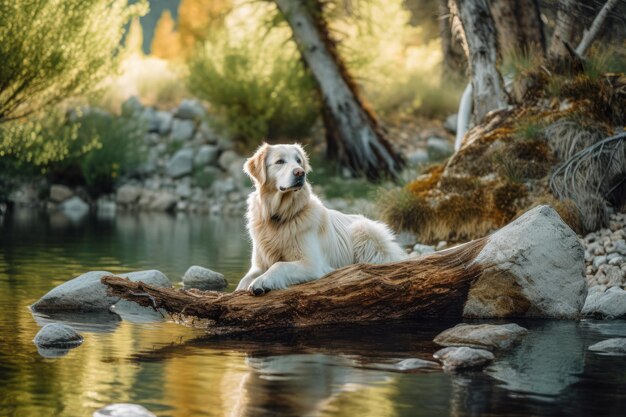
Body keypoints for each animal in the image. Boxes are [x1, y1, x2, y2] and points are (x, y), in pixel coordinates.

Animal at [234, 145, 404, 294]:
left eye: (298, 161)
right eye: (280, 161)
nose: (300, 173)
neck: (279, 216)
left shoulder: (311, 264)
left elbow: (279, 265)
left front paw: (262, 282)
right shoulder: (258, 264)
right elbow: (244, 279)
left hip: (363, 230)